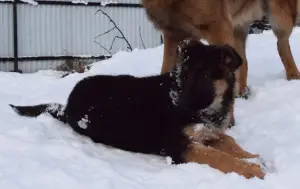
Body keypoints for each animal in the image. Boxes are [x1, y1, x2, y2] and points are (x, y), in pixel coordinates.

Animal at [9, 39, 264, 179]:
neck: (208, 109)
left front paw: (252, 156)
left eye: (202, 75)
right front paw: (250, 169)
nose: (177, 102)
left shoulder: (207, 132)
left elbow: (228, 142)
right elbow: (217, 156)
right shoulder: (179, 145)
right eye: (182, 75)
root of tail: (68, 103)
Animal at [142, 0, 300, 126]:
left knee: (282, 44)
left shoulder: (219, 27)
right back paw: (242, 91)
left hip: (280, 15)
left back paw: (293, 77)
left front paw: (227, 123)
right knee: (244, 62)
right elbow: (165, 72)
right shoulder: (173, 36)